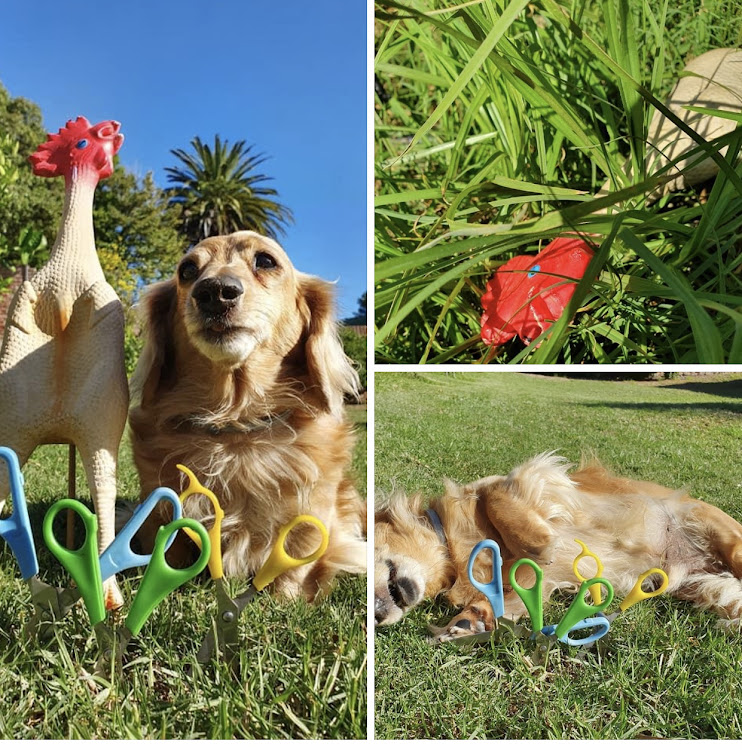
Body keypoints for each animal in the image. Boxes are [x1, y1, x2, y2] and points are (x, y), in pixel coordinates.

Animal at [374, 452, 742, 640]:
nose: (375, 615)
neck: (453, 547)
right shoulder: (535, 580)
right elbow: (513, 598)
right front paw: (472, 619)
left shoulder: (524, 481)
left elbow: (496, 498)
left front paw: (538, 542)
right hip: (705, 587)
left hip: (724, 538)